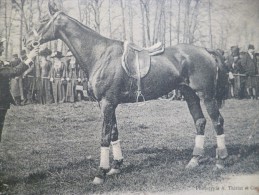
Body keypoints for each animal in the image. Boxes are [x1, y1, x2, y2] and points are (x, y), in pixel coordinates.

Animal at [25, 1, 230, 184]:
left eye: (43, 20)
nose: (28, 42)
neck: (100, 54)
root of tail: (206, 50)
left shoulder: (107, 103)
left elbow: (105, 136)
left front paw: (100, 173)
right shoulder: (108, 103)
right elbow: (114, 133)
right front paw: (116, 167)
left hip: (206, 95)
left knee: (217, 121)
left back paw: (220, 161)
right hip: (189, 95)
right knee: (200, 121)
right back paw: (194, 160)